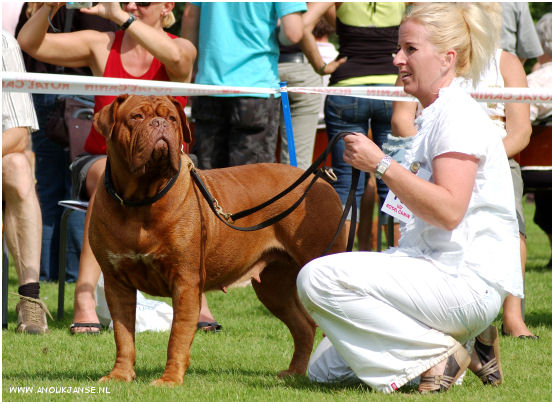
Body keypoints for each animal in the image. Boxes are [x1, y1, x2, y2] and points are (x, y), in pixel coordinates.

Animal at [89, 94, 344, 386]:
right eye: (137, 117)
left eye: (172, 118)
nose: (160, 123)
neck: (140, 200)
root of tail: (319, 179)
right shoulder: (116, 282)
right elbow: (123, 334)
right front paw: (120, 375)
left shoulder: (185, 281)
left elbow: (178, 335)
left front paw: (170, 380)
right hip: (274, 287)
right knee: (303, 326)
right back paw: (294, 373)